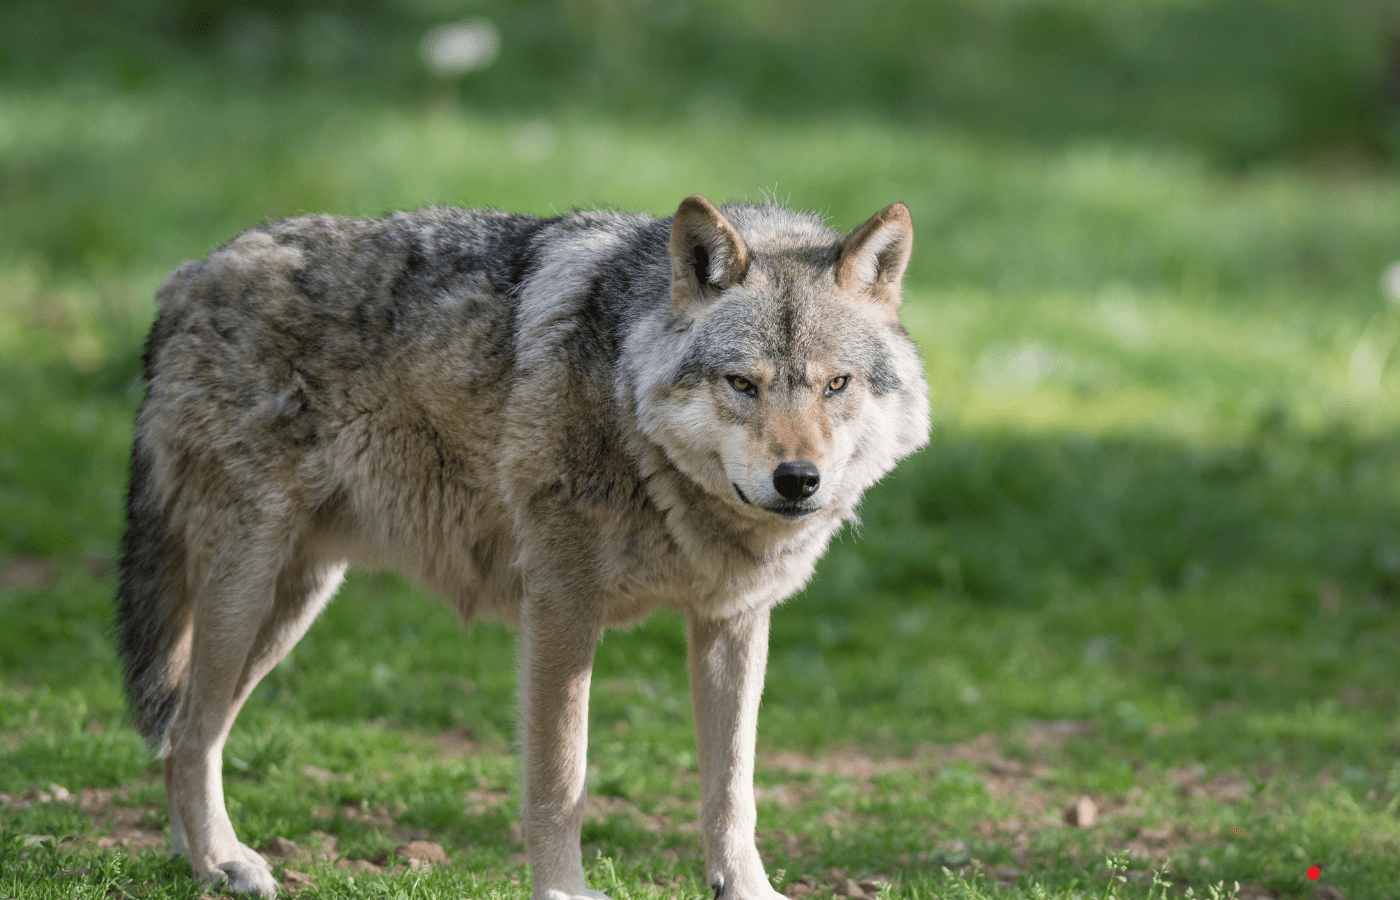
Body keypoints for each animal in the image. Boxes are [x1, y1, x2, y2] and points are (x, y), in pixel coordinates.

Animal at [116, 194, 930, 899]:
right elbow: (560, 778)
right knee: (188, 732)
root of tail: (188, 277)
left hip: (293, 604)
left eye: (835, 385)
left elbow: (733, 789)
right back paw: (222, 861)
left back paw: (197, 860)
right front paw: (564, 891)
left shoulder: (732, 620)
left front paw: (749, 890)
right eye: (742, 384)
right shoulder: (561, 607)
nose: (798, 480)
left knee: (187, 732)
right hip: (248, 590)